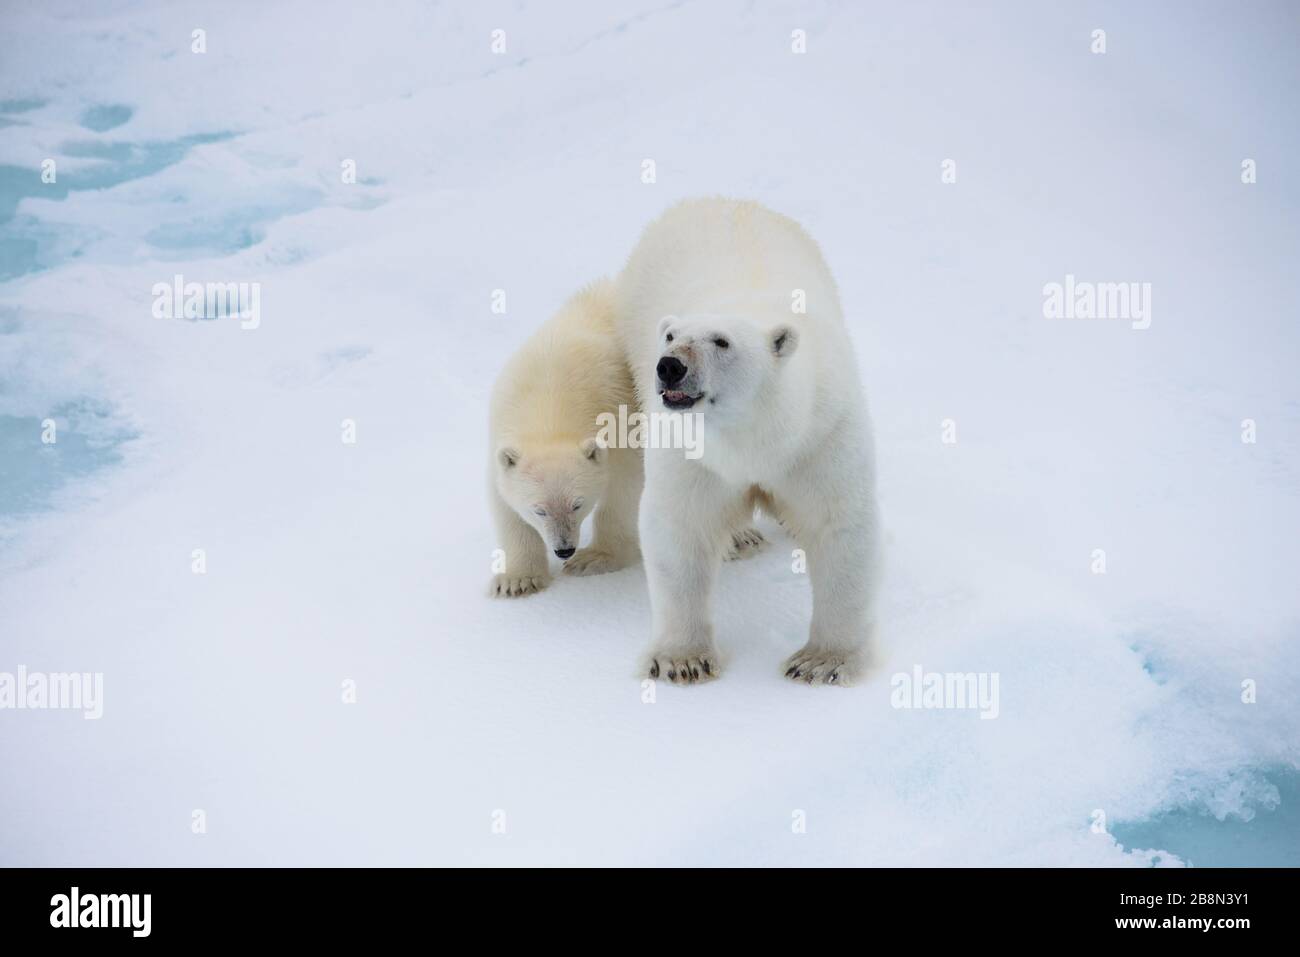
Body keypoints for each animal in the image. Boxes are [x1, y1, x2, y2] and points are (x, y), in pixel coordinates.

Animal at [488, 280, 644, 598]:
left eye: (577, 504)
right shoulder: (501, 426)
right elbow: (504, 502)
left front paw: (594, 559)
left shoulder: (620, 413)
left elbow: (623, 485)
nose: (564, 550)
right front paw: (517, 580)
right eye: (539, 510)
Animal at [618, 197, 883, 686]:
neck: (755, 435)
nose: (669, 366)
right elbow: (680, 527)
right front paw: (681, 660)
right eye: (671, 336)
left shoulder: (820, 436)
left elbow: (840, 524)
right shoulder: (692, 453)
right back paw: (741, 538)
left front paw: (821, 662)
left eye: (721, 342)